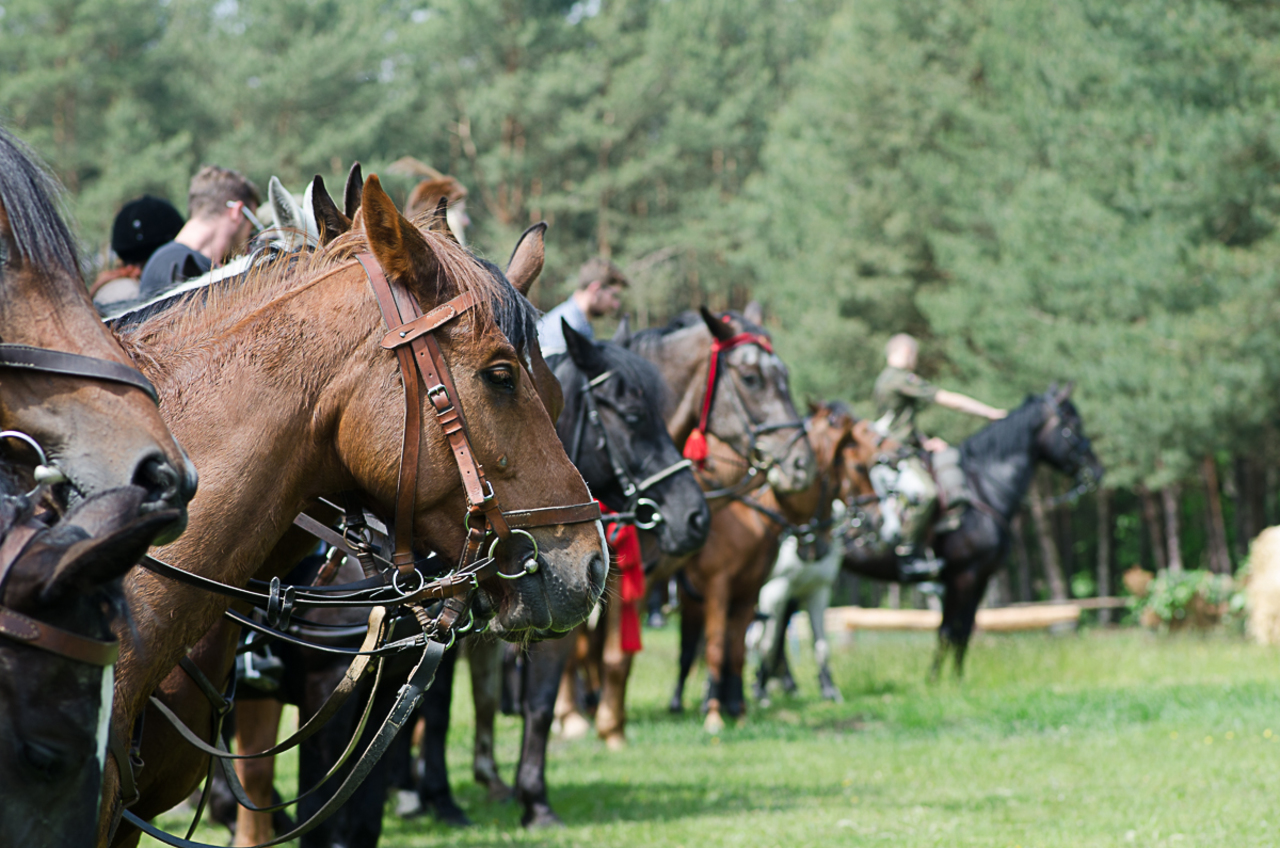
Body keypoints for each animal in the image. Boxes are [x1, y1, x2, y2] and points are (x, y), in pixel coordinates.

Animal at [670, 402, 860, 732]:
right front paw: (716, 711)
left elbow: (741, 650)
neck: (749, 520)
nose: (820, 546)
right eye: (837, 480)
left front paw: (738, 707)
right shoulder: (725, 590)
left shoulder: (756, 592)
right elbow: (721, 647)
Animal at [839, 384, 1100, 676]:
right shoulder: (962, 576)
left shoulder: (980, 578)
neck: (983, 490)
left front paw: (956, 679)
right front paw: (936, 679)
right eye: (1073, 425)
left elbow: (962, 632)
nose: (1097, 469)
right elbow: (947, 631)